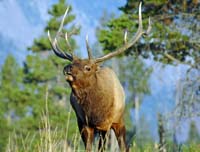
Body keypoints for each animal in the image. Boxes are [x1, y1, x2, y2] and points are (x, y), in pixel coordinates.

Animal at [47, 2, 151, 152]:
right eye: (72, 63)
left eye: (88, 67)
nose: (67, 69)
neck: (96, 111)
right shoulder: (85, 124)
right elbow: (89, 148)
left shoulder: (111, 122)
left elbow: (111, 147)